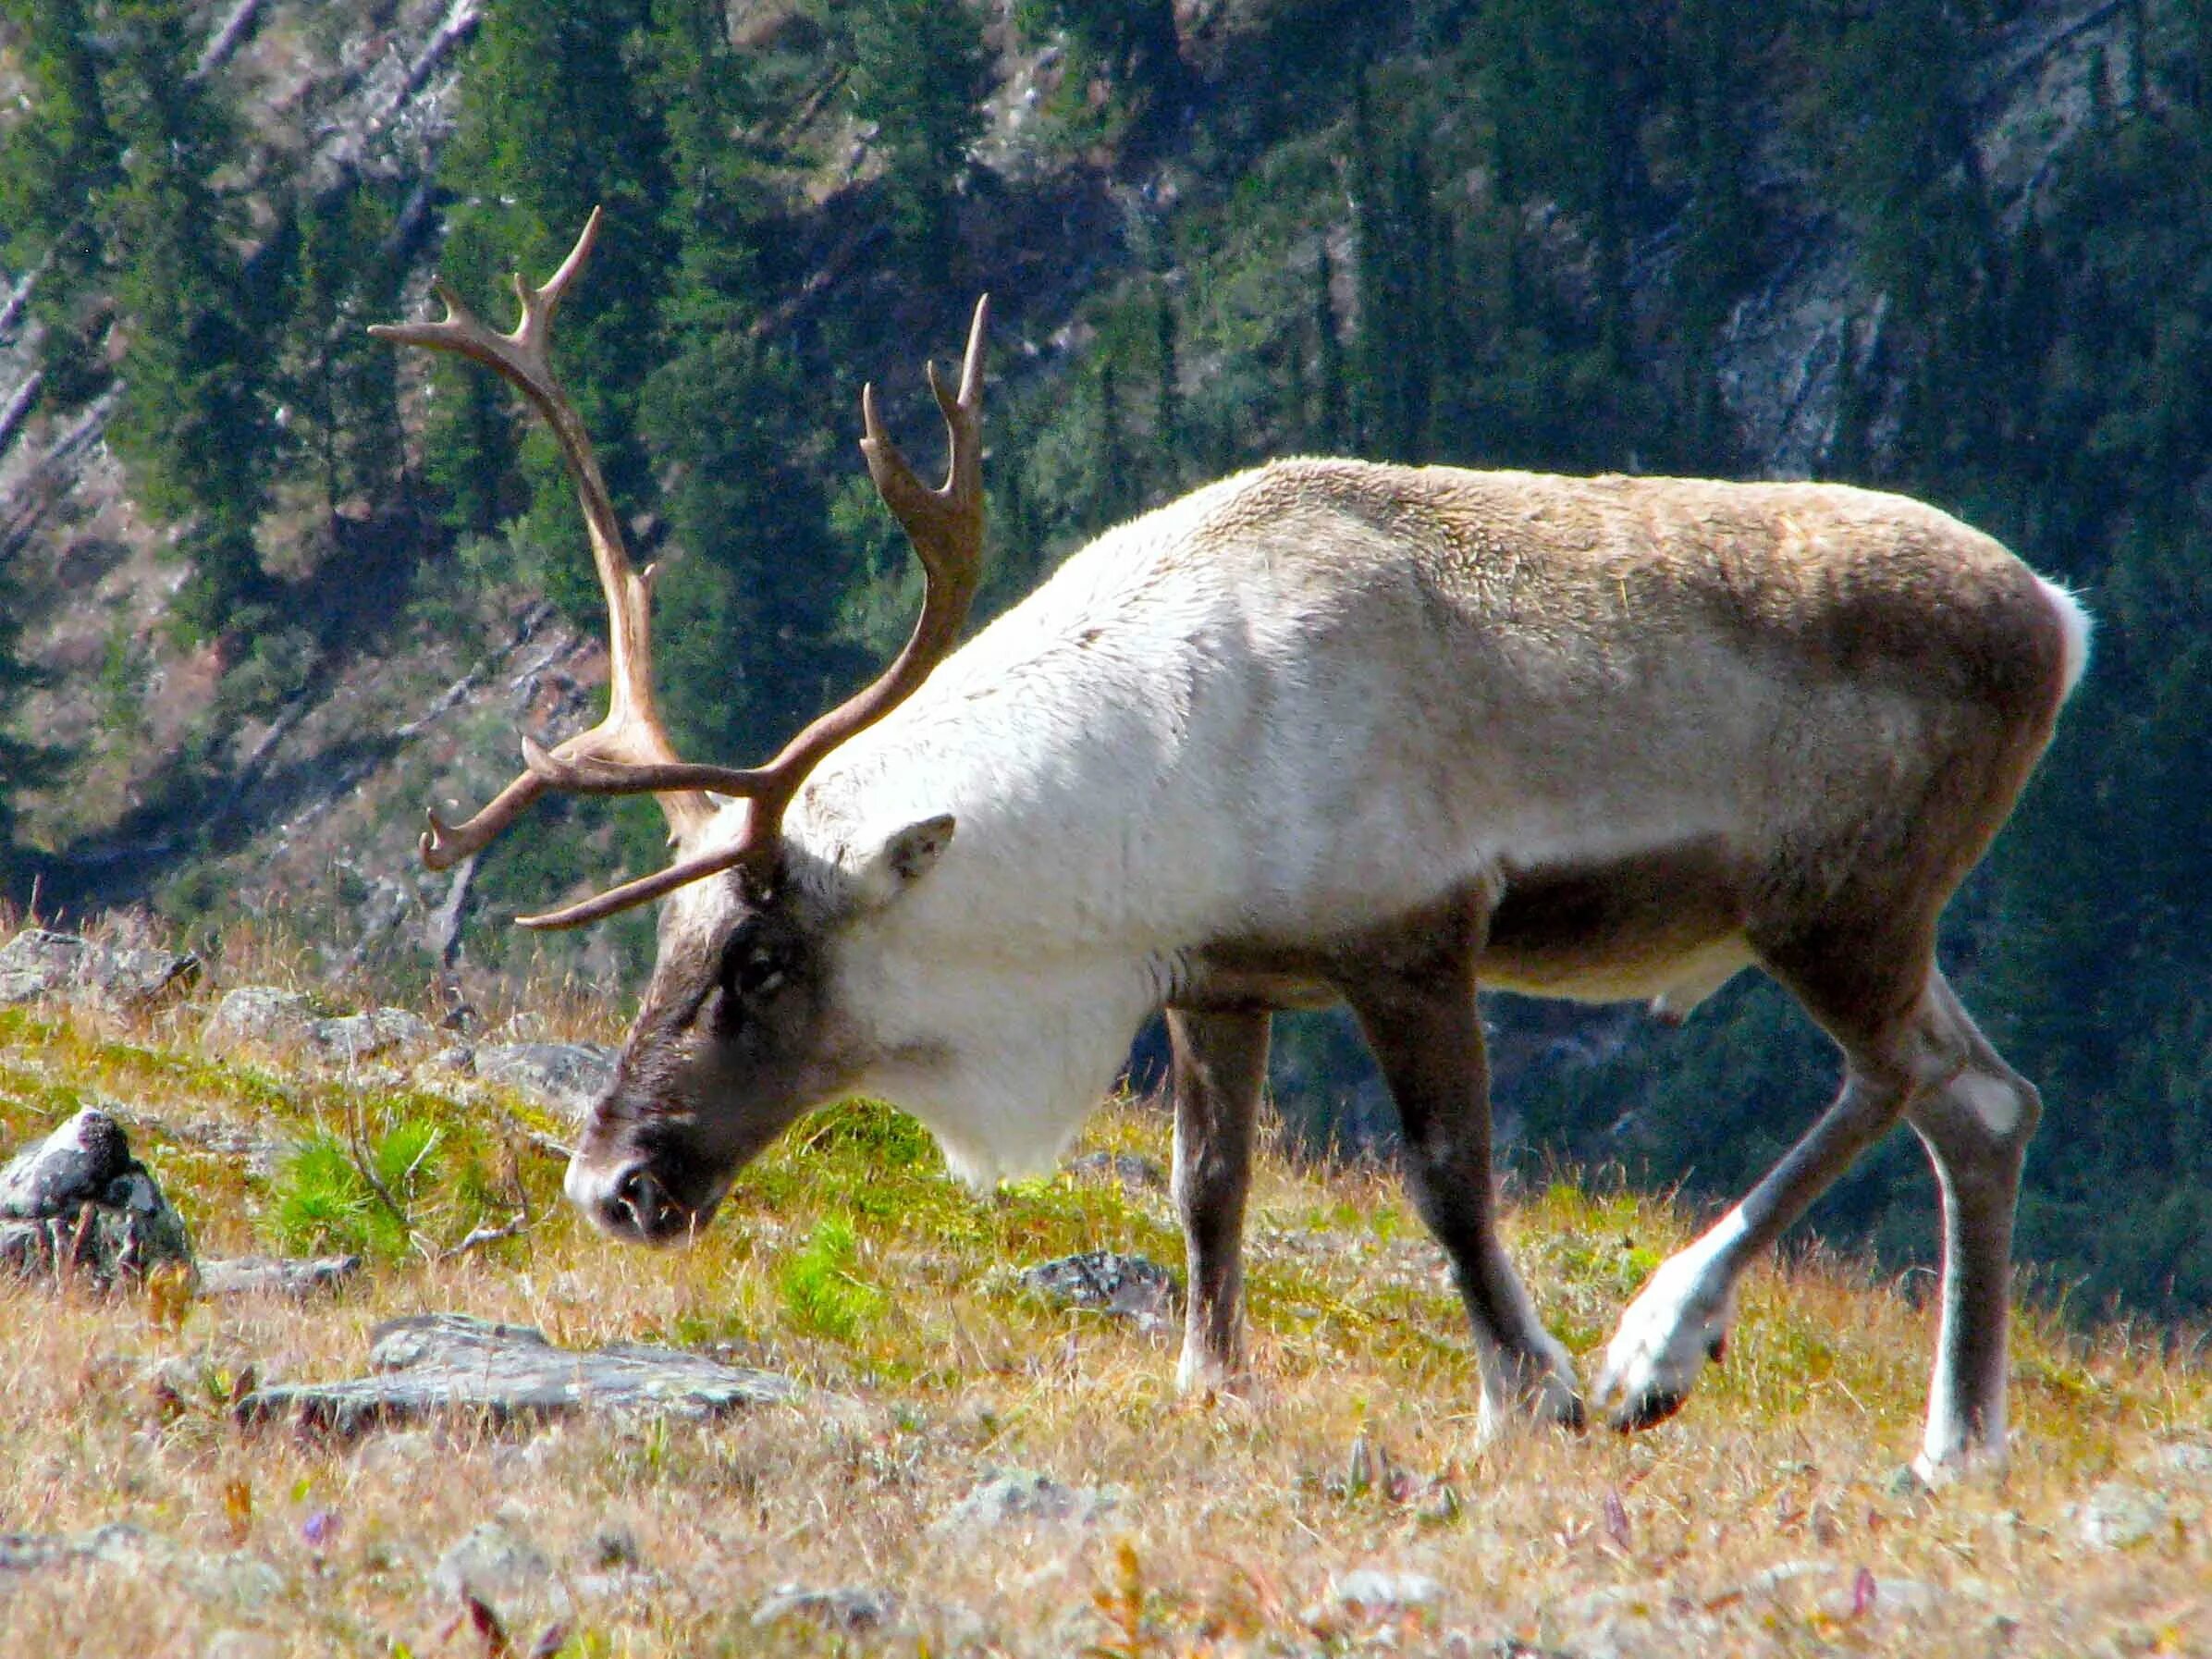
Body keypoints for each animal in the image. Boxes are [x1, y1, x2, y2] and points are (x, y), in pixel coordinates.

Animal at [380, 215, 2088, 1477]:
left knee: (1898, 1079)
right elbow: (1208, 1187)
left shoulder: (1415, 939)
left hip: (1838, 898)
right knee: (1984, 1099)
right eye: (663, 941)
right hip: (1879, 916)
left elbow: (1449, 1182)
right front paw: (1215, 1381)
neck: (1163, 755)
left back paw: (1657, 1345)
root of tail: (2059, 617)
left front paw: (1529, 1391)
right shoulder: (1219, 977)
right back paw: (1955, 1442)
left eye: (761, 956)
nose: (611, 1182)